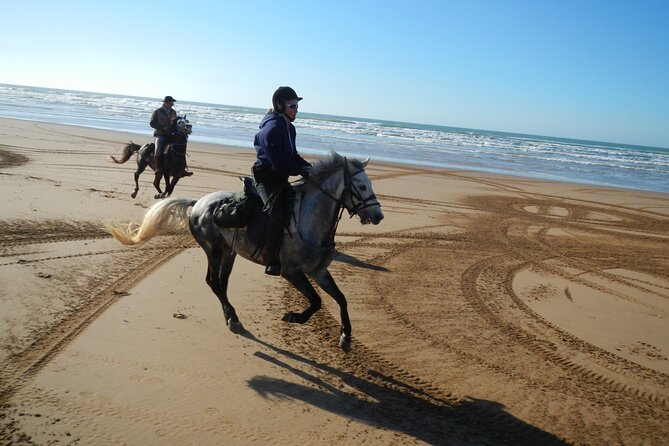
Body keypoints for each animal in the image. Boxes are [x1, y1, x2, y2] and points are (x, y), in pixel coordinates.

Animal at [108, 152, 384, 351]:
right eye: (361, 186)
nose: (378, 216)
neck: (310, 218)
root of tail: (198, 203)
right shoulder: (292, 272)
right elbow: (316, 301)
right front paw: (293, 317)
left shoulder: (318, 271)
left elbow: (341, 298)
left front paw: (346, 336)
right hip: (213, 250)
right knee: (213, 282)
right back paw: (234, 319)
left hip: (229, 253)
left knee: (220, 284)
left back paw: (231, 317)